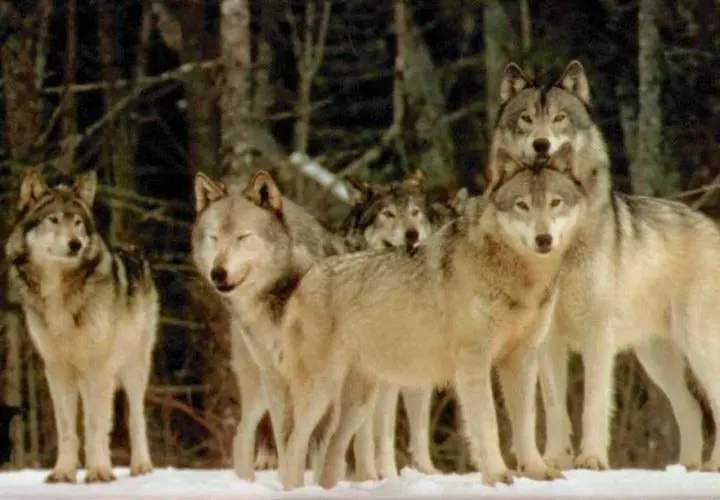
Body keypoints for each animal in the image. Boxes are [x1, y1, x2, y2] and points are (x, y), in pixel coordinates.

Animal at [5, 169, 157, 483]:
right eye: (53, 219)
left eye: (77, 222)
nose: (75, 243)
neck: (59, 292)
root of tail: (135, 251)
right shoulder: (56, 368)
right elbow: (67, 429)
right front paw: (63, 473)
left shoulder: (98, 366)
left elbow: (96, 426)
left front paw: (99, 471)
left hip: (133, 368)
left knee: (135, 418)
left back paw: (140, 467)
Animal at [191, 170, 347, 482]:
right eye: (214, 238)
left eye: (243, 237)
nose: (218, 273)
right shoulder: (278, 378)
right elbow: (290, 447)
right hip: (261, 386)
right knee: (242, 436)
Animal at [277, 144, 588, 490]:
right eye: (522, 205)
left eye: (555, 202)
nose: (544, 239)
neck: (518, 277)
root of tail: (307, 277)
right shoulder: (473, 360)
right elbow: (487, 423)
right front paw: (497, 476)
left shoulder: (522, 357)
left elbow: (527, 422)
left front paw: (536, 472)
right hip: (322, 391)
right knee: (293, 445)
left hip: (360, 401)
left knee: (332, 450)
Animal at [493, 59, 720, 472]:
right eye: (526, 118)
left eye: (560, 118)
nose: (541, 144)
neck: (562, 247)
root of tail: (713, 227)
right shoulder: (548, 337)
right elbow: (555, 407)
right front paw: (555, 461)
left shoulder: (597, 333)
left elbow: (594, 404)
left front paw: (592, 459)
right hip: (655, 358)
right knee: (693, 410)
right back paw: (688, 468)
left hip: (696, 344)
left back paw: (709, 468)